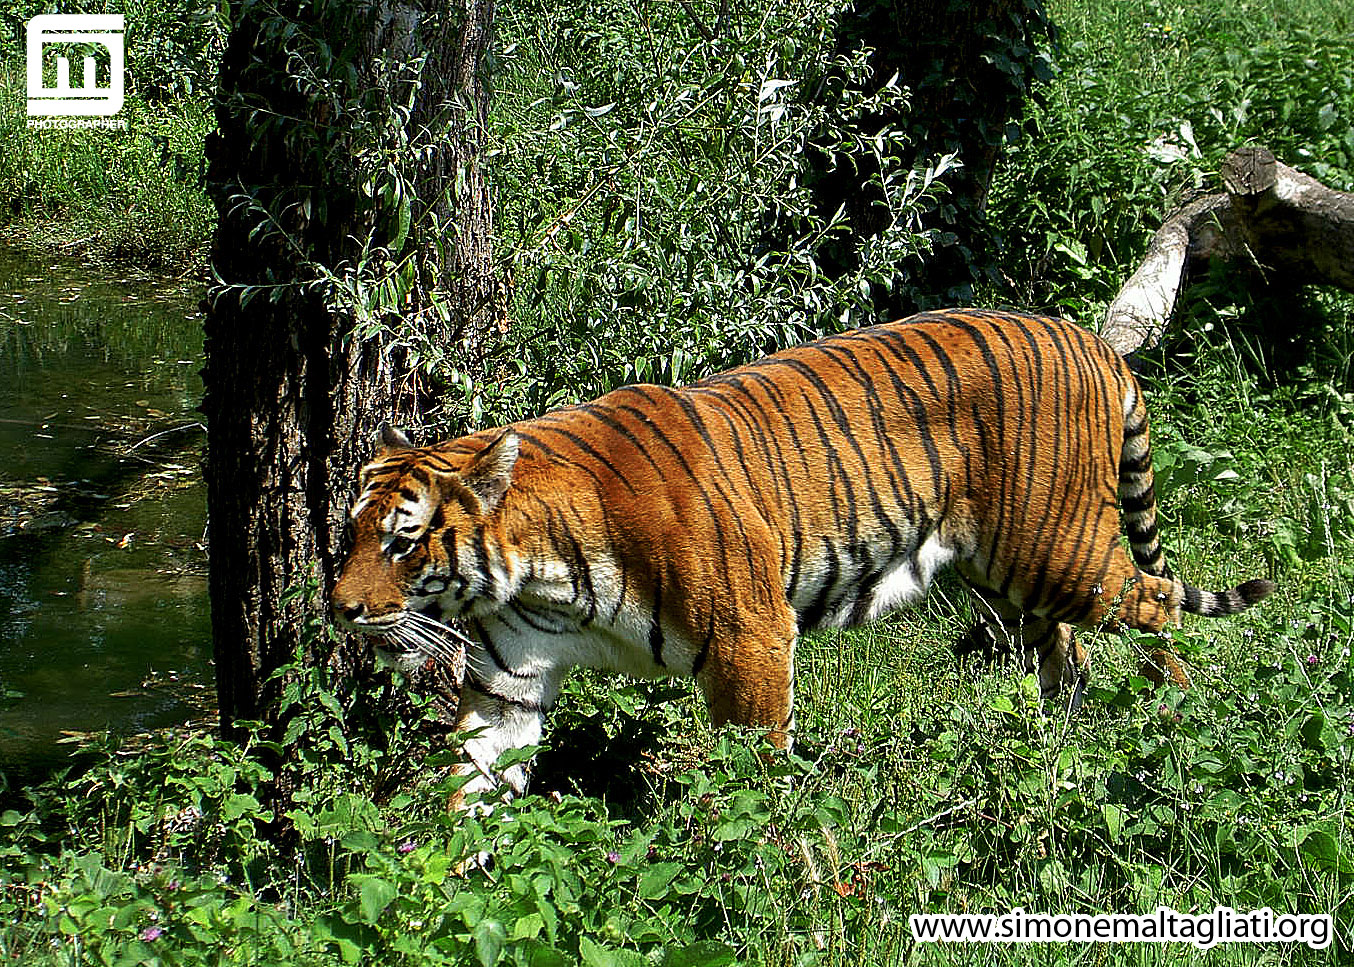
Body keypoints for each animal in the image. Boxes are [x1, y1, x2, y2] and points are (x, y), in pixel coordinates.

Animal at [331, 308, 1273, 802]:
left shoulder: (749, 639)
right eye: (350, 534)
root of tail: (1085, 334)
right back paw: (1060, 744)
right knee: (1066, 656)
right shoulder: (508, 685)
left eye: (403, 540)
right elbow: (471, 791)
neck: (536, 578)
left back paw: (1175, 726)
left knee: (1155, 601)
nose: (340, 608)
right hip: (1006, 579)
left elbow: (751, 779)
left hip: (1061, 553)